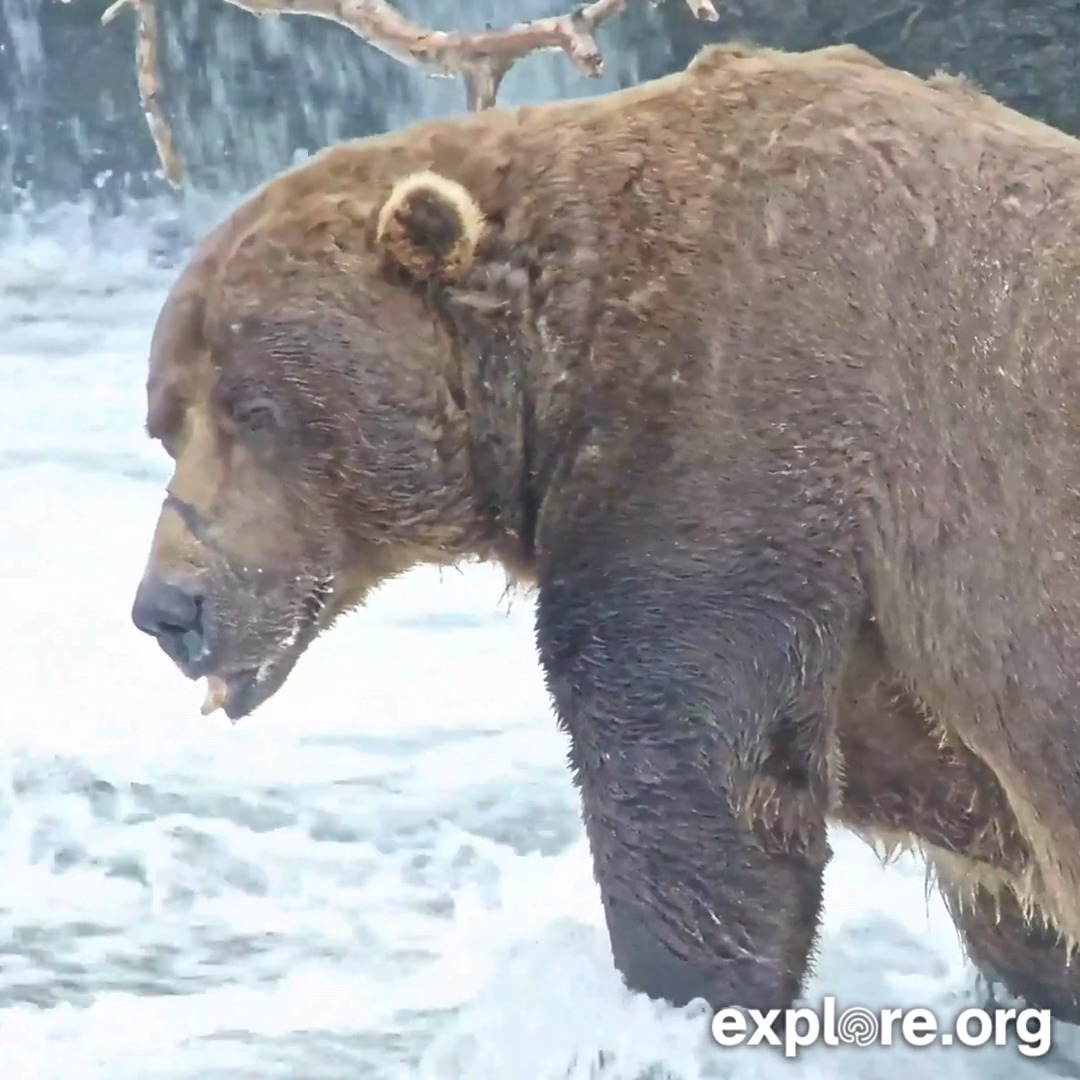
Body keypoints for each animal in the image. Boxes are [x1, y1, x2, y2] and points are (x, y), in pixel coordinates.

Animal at [129, 40, 1080, 1023]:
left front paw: (690, 981)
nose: (170, 606)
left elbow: (691, 763)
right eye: (164, 421)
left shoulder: (735, 432)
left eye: (256, 411)